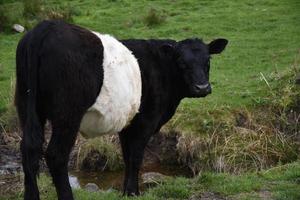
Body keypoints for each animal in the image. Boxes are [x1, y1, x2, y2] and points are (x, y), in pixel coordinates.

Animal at [15, 19, 227, 199]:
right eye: (181, 62)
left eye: (208, 60)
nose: (202, 87)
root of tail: (45, 27)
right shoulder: (146, 121)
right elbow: (136, 157)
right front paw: (133, 192)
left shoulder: (128, 123)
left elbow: (127, 157)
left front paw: (126, 192)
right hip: (68, 114)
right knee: (56, 155)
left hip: (26, 105)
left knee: (29, 150)